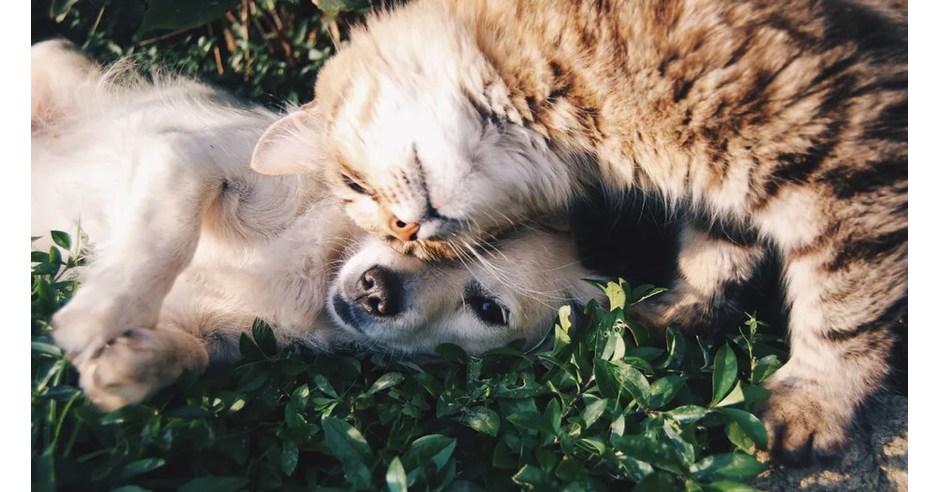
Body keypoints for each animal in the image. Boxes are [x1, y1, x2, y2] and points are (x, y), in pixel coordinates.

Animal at [33, 40, 604, 412]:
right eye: (405, 226)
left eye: (488, 310)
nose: (377, 290)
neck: (318, 270)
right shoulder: (188, 156)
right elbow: (166, 234)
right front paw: (102, 312)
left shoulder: (221, 336)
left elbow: (192, 355)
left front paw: (133, 364)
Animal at [250, 0, 912, 466]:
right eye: (400, 239)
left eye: (353, 185)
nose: (407, 229)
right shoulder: (729, 184)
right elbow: (712, 258)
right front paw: (675, 314)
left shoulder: (848, 161)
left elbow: (842, 312)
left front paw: (812, 403)